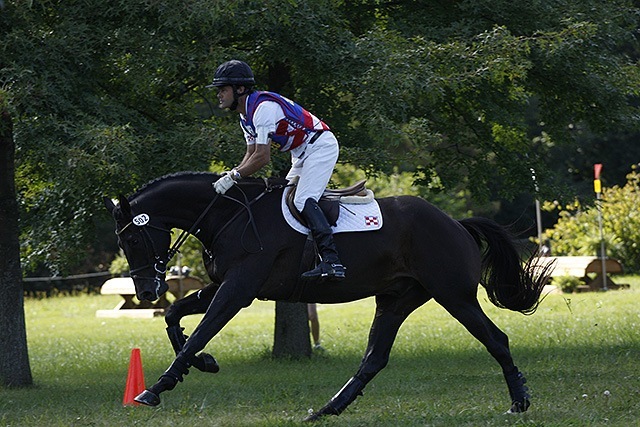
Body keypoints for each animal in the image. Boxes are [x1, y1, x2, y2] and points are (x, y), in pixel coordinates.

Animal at [103, 171, 551, 421]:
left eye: (132, 238)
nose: (147, 291)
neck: (227, 214)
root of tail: (455, 223)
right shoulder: (225, 285)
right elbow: (175, 318)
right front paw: (204, 364)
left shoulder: (239, 289)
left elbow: (199, 332)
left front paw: (155, 388)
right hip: (396, 300)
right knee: (374, 358)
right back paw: (327, 409)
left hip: (453, 295)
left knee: (496, 340)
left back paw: (520, 401)